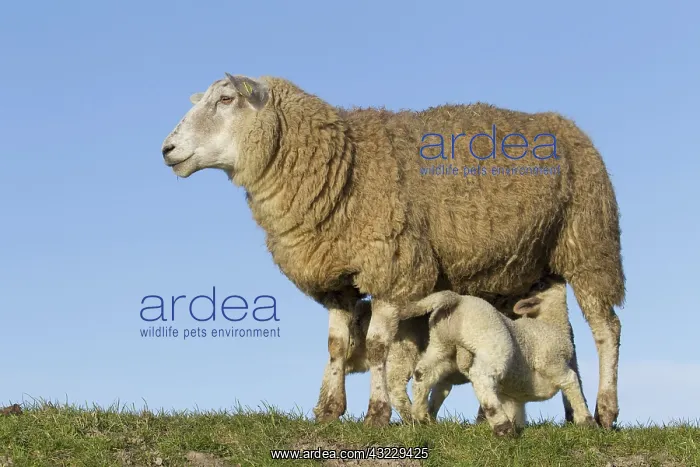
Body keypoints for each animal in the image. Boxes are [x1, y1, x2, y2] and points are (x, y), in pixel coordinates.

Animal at [406, 275, 596, 436]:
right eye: (541, 284)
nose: (557, 275)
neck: (552, 324)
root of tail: (456, 300)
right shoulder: (553, 362)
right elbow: (571, 382)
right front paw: (586, 421)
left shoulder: (514, 395)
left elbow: (517, 411)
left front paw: (518, 426)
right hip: (493, 344)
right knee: (481, 378)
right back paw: (502, 427)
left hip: (441, 345)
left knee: (423, 373)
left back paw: (421, 417)